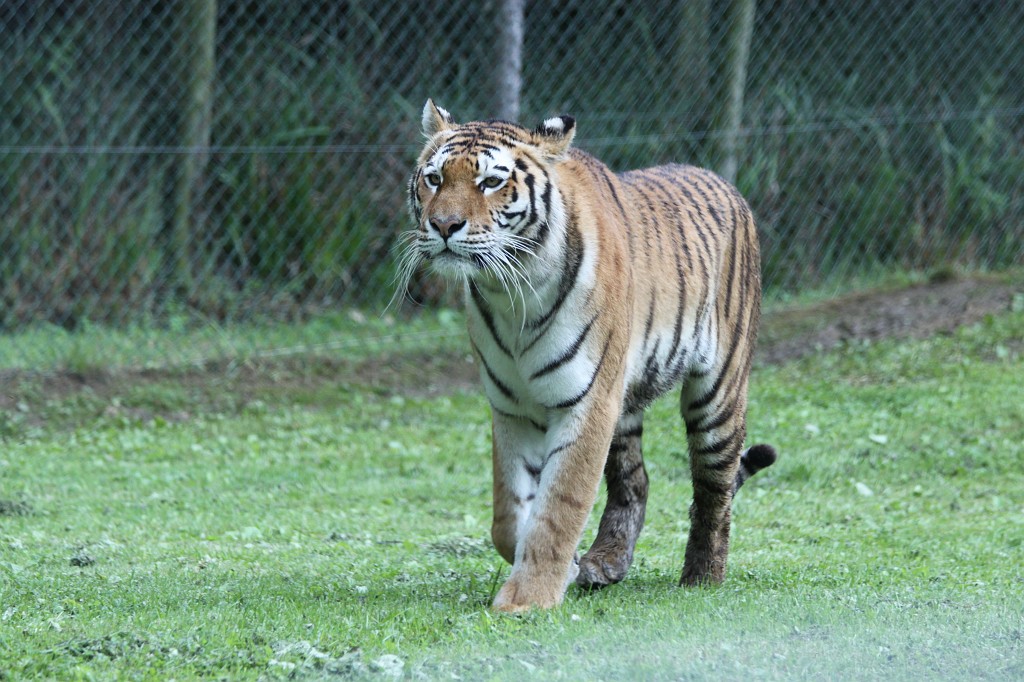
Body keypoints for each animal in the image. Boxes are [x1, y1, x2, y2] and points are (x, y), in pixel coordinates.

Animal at [396, 99, 777, 612]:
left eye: (491, 181)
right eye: (434, 178)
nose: (443, 226)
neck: (512, 292)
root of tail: (727, 185)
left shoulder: (588, 402)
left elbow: (559, 507)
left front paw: (527, 599)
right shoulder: (513, 408)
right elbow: (508, 516)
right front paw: (567, 566)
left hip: (716, 394)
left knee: (715, 491)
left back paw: (702, 577)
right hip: (625, 406)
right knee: (635, 481)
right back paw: (605, 563)